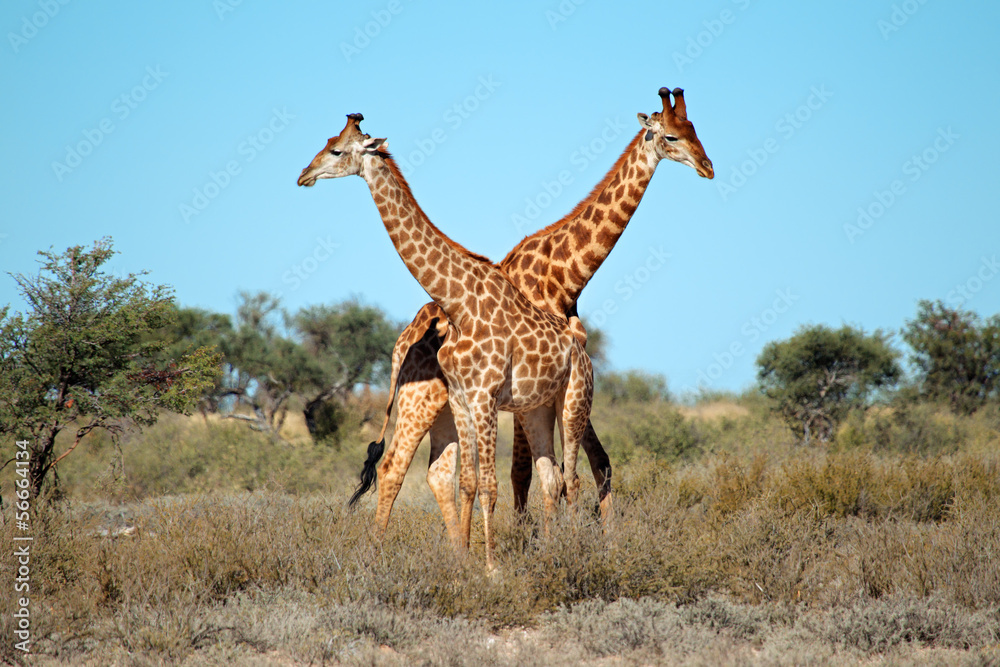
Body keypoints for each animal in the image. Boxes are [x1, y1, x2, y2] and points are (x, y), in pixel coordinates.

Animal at [298, 114, 595, 569]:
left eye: (336, 150)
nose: (303, 175)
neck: (457, 303)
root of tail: (581, 345)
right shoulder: (460, 396)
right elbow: (468, 481)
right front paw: (468, 562)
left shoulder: (485, 396)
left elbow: (489, 484)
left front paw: (491, 568)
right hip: (537, 408)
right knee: (552, 476)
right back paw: (553, 553)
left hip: (575, 399)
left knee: (574, 477)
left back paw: (575, 553)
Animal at [348, 88, 713, 534]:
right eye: (673, 137)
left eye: (695, 130)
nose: (708, 167)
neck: (564, 274)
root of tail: (402, 341)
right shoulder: (531, 391)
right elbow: (529, 471)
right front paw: (532, 538)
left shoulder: (555, 382)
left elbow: (595, 462)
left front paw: (601, 536)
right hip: (421, 401)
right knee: (393, 468)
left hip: (449, 411)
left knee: (438, 471)